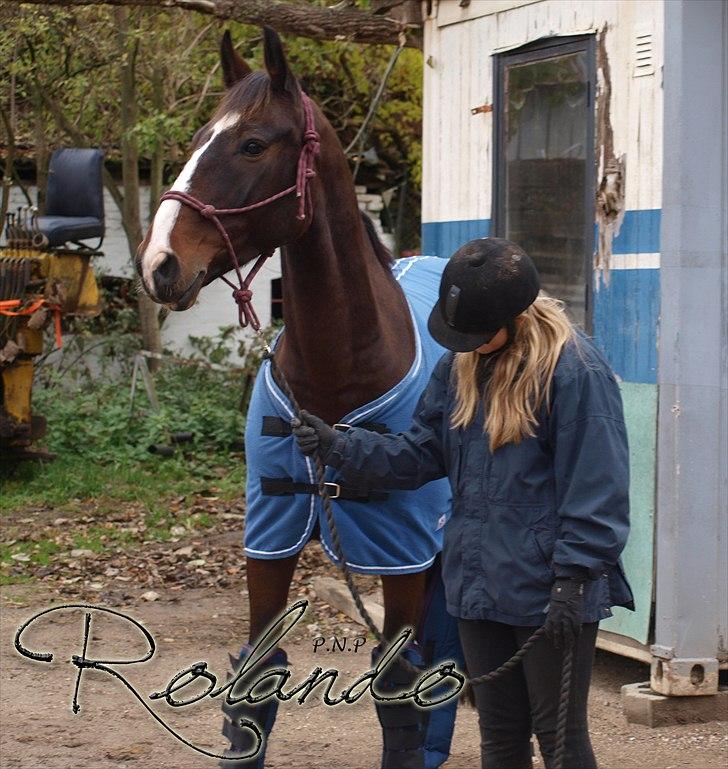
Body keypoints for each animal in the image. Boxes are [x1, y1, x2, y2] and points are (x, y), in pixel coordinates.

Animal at [134, 27, 446, 764]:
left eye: (253, 144)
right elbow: (255, 682)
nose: (158, 263)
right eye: (197, 138)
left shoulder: (405, 549)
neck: (338, 375)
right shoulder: (269, 537)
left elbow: (399, 686)